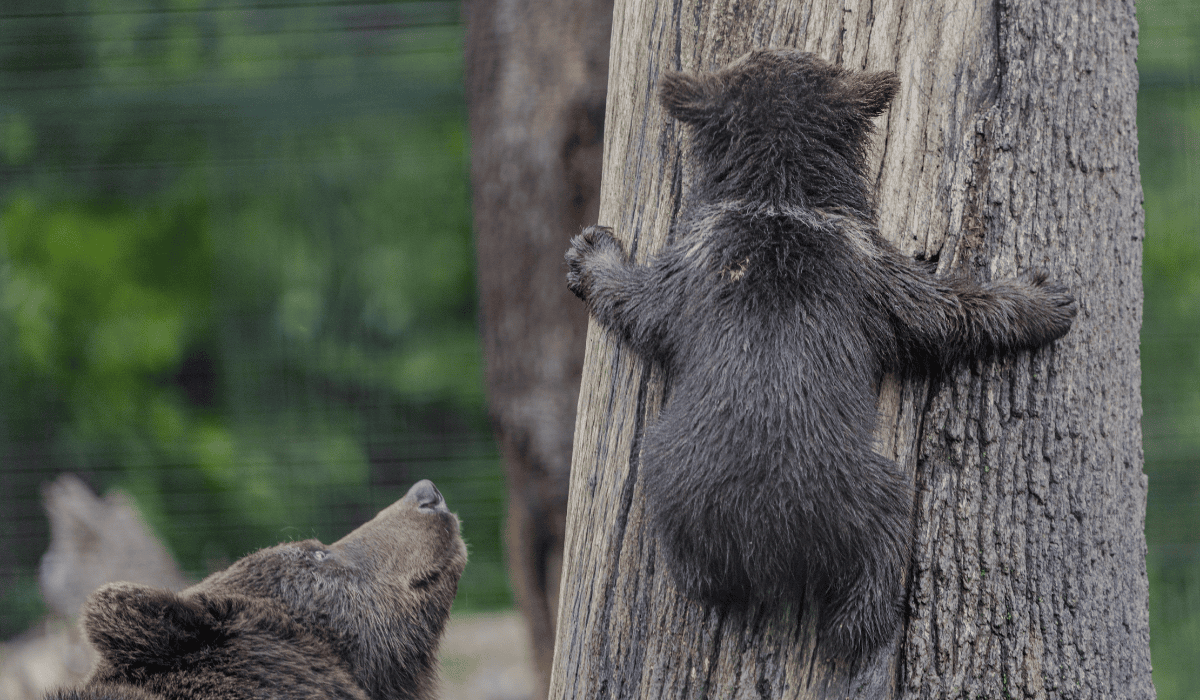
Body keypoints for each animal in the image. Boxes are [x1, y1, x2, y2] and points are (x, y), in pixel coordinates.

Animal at [565, 49, 1076, 662]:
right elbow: (954, 309)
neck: (777, 199)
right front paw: (1041, 300)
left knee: (699, 574)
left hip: (671, 488)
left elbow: (633, 301)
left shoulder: (684, 275)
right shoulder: (874, 276)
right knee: (875, 567)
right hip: (870, 496)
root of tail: (764, 536)